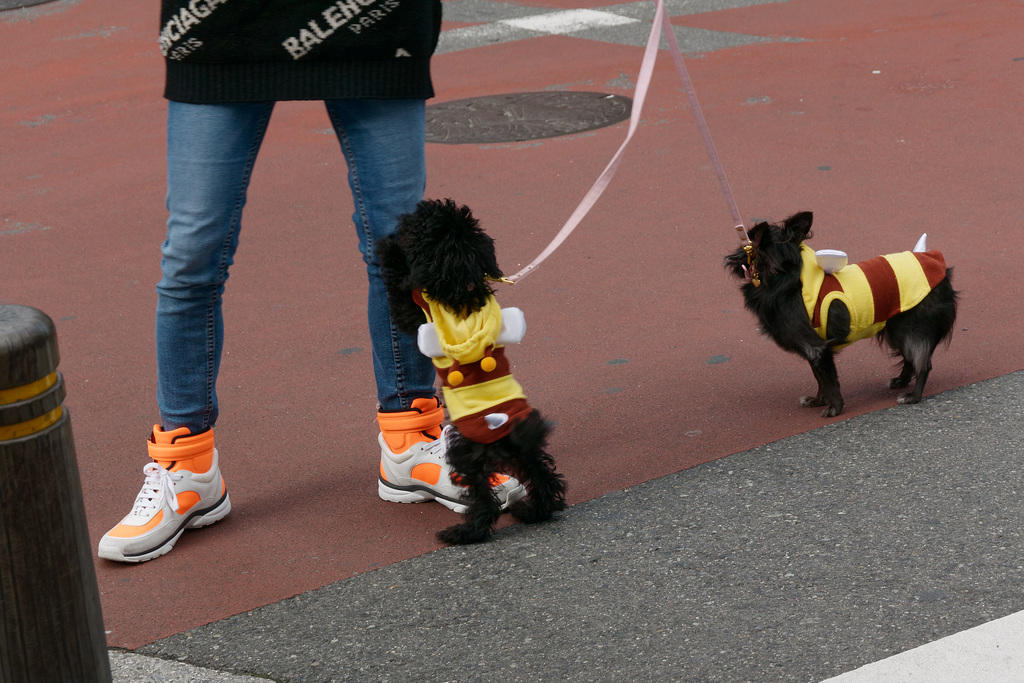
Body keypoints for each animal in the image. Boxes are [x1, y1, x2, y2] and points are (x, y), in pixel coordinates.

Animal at [376, 197, 569, 544]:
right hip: (527, 452)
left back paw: (464, 532)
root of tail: (506, 433)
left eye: (419, 226)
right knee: (545, 478)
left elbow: (399, 290)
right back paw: (533, 512)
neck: (463, 287)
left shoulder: (416, 316)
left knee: (483, 500)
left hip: (467, 455)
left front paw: (388, 249)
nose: (411, 212)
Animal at [724, 211, 954, 417]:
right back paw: (900, 382)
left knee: (922, 363)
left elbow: (829, 381)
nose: (735, 255)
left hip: (910, 328)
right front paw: (818, 401)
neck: (782, 276)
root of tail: (939, 267)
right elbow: (820, 380)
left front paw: (835, 408)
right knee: (909, 358)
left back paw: (914, 396)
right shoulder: (815, 351)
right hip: (895, 328)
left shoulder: (817, 349)